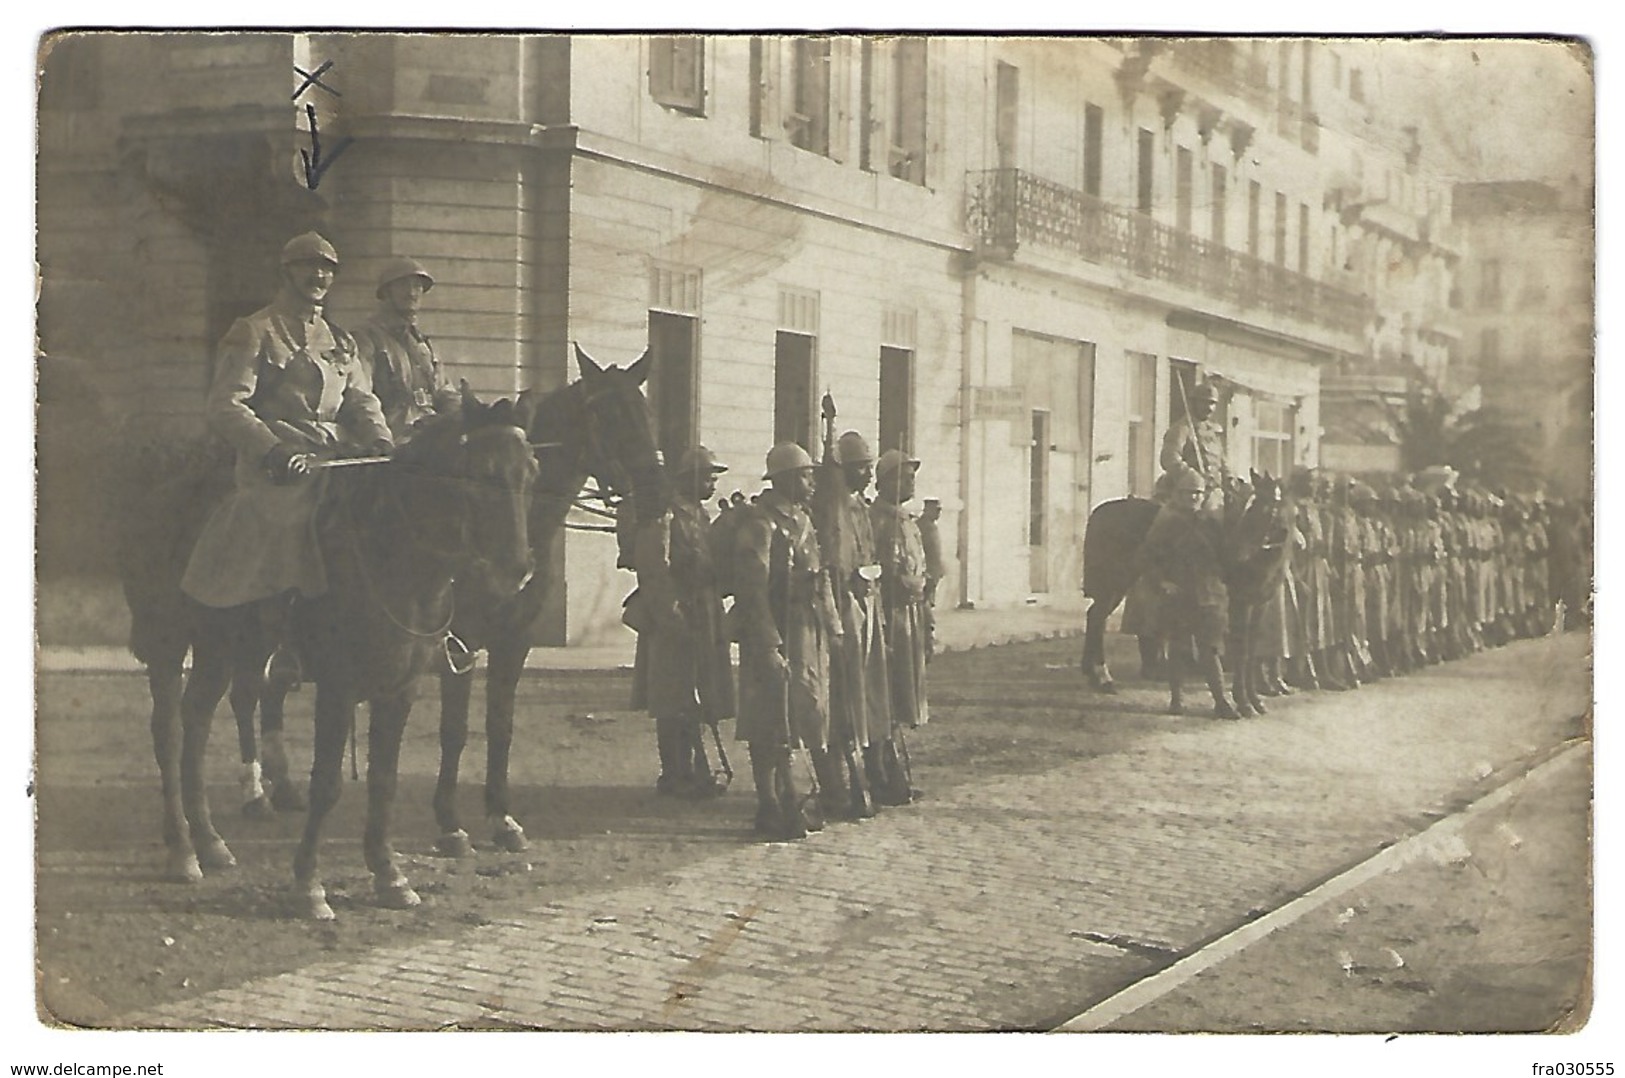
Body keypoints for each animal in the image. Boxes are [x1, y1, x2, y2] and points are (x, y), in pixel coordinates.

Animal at [123, 391, 539, 917]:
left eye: (531, 470)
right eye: (481, 473)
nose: (519, 570)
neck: (392, 553)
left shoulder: (400, 687)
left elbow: (384, 779)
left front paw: (389, 874)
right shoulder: (337, 687)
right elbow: (326, 784)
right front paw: (308, 885)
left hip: (222, 647)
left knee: (196, 720)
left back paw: (210, 842)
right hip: (168, 642)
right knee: (170, 733)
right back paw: (181, 850)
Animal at [432, 346, 666, 858]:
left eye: (647, 412)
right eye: (607, 415)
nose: (656, 494)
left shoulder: (514, 639)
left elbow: (500, 725)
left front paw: (502, 818)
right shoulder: (459, 642)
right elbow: (454, 730)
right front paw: (449, 824)